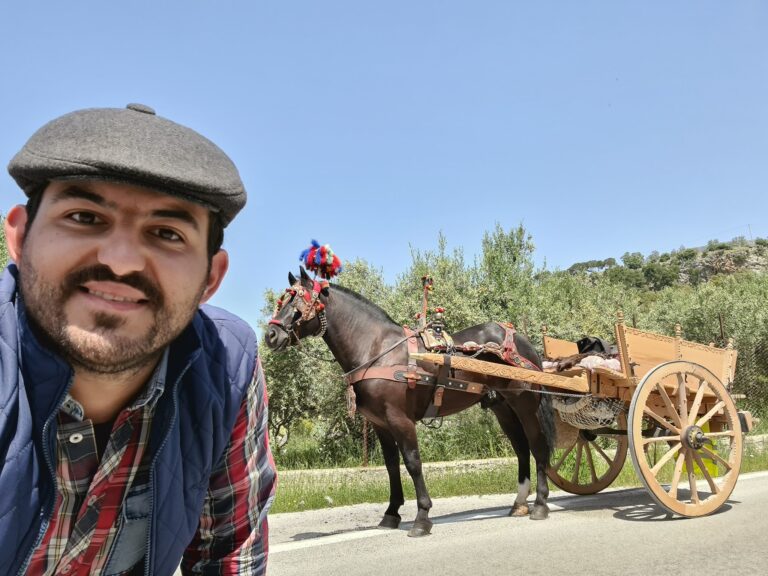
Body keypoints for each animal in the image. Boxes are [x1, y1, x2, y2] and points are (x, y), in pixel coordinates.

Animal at [268, 268, 556, 536]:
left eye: (298, 302)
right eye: (284, 300)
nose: (271, 334)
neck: (377, 351)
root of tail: (518, 339)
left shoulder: (400, 419)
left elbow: (413, 462)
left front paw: (422, 517)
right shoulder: (380, 424)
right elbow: (391, 466)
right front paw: (391, 513)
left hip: (525, 404)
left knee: (537, 446)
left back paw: (540, 504)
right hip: (503, 408)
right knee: (521, 449)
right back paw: (519, 502)